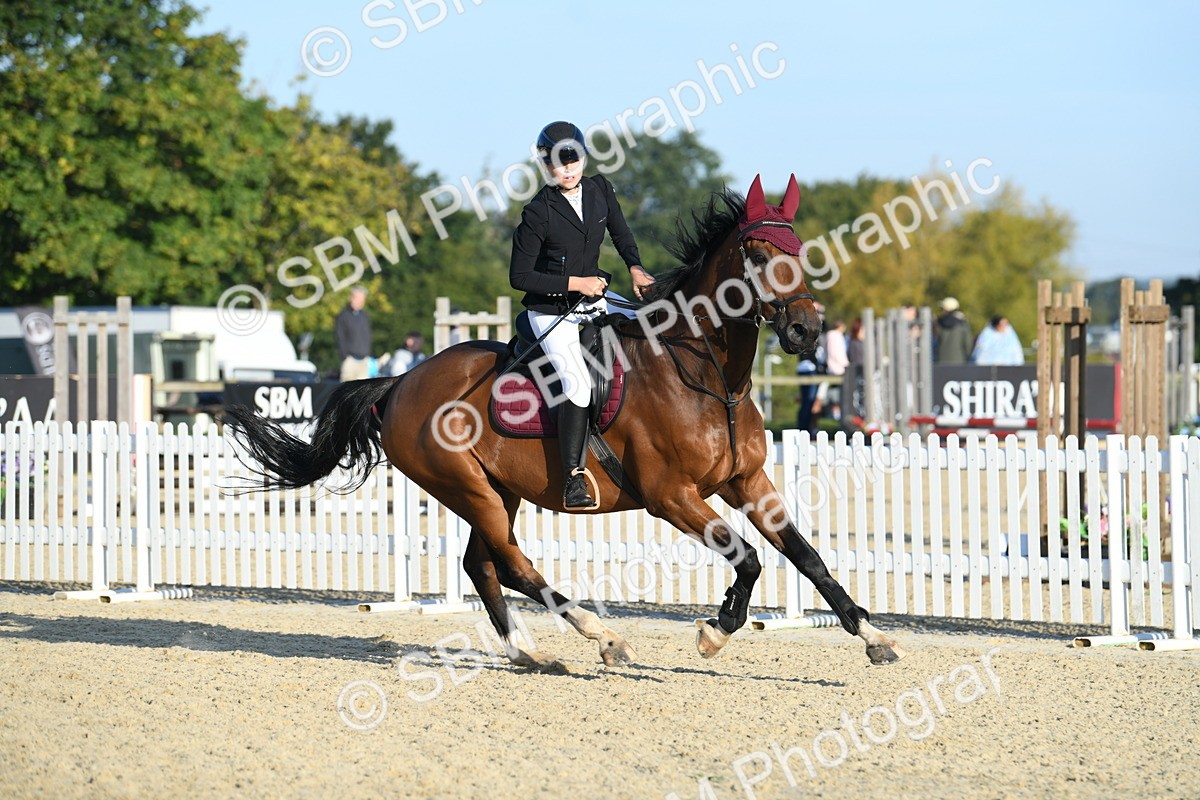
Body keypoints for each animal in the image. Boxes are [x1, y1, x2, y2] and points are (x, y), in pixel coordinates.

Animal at [225, 174, 906, 672]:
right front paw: (715, 631)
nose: (806, 331)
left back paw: (529, 652)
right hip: (465, 487)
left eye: (800, 251)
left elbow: (807, 557)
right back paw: (601, 636)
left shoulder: (749, 483)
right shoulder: (672, 496)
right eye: (758, 253)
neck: (709, 378)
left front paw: (873, 636)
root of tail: (401, 384)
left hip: (497, 490)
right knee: (510, 564)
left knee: (483, 565)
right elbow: (748, 558)